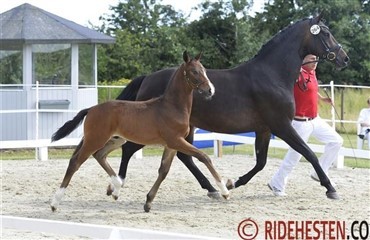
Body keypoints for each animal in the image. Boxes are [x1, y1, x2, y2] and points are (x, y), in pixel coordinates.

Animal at [49, 51, 228, 212]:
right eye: (194, 71)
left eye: (204, 70)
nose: (210, 90)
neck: (171, 107)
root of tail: (91, 109)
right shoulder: (176, 140)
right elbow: (203, 157)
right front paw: (224, 191)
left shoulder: (171, 144)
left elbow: (163, 171)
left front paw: (148, 202)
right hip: (95, 139)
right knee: (75, 162)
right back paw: (55, 203)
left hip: (114, 139)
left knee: (99, 155)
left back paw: (116, 188)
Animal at [113, 14, 350, 200]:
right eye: (326, 33)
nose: (344, 58)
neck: (272, 75)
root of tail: (147, 78)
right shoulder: (282, 126)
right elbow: (308, 153)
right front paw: (330, 188)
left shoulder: (264, 129)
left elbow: (261, 162)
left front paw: (232, 183)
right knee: (129, 148)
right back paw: (117, 184)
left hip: (184, 128)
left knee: (184, 157)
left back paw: (211, 189)